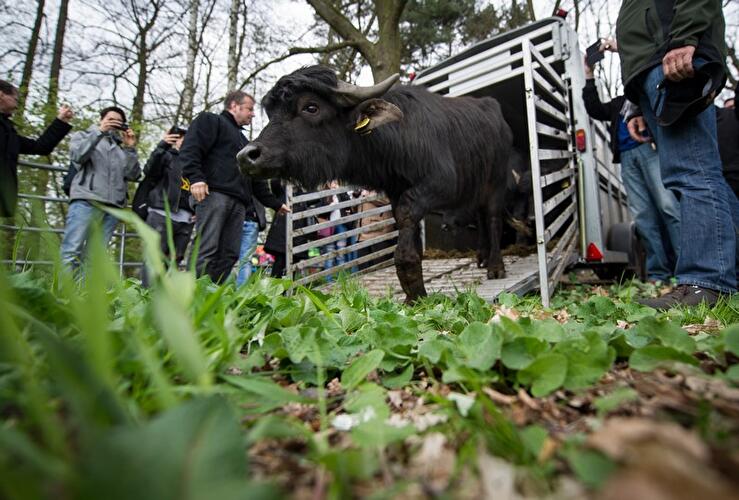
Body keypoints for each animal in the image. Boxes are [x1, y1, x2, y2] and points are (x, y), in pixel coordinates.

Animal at [238, 65, 513, 302]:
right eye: (271, 113)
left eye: (311, 107)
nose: (247, 156)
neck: (400, 136)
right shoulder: (395, 191)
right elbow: (405, 223)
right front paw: (414, 292)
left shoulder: (442, 184)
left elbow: (406, 216)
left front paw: (412, 283)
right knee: (481, 218)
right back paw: (482, 258)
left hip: (497, 181)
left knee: (492, 218)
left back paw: (495, 267)